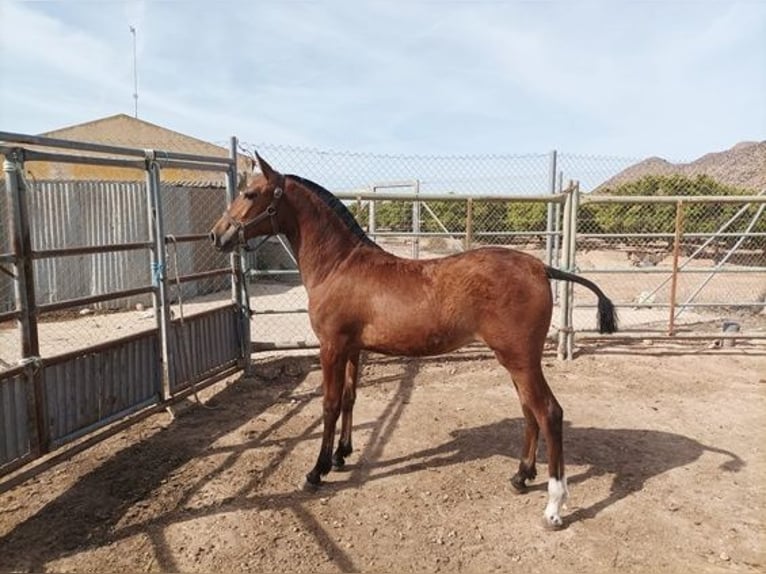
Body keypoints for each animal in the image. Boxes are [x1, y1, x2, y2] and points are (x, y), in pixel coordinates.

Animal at [210, 154, 616, 532]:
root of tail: (539, 267)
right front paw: (342, 456)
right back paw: (520, 476)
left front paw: (317, 471)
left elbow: (328, 405)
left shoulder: (331, 347)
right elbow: (349, 399)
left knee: (549, 412)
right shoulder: (354, 350)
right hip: (515, 360)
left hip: (521, 359)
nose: (217, 235)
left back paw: (553, 507)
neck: (339, 266)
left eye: (251, 193)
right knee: (530, 411)